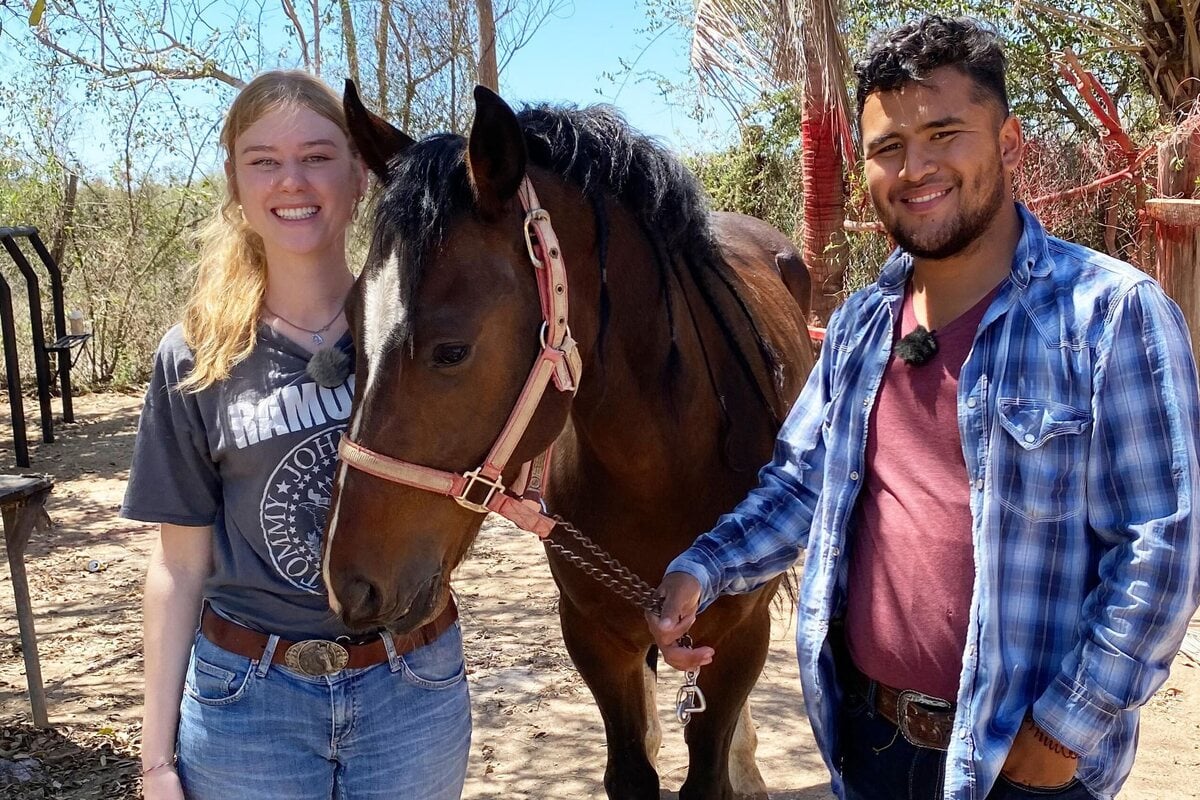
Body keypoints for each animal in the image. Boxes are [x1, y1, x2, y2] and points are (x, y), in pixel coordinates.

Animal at [321, 84, 816, 796]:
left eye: (452, 350)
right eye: (350, 329)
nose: (350, 586)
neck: (664, 469)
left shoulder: (739, 637)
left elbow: (709, 767)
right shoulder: (593, 634)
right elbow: (631, 767)